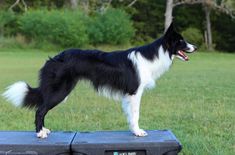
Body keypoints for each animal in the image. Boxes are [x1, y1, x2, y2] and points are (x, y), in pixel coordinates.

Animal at [2, 23, 196, 138]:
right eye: (181, 41)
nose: (195, 47)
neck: (156, 54)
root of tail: (53, 59)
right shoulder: (134, 92)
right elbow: (135, 114)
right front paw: (138, 132)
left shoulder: (128, 95)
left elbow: (129, 114)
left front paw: (132, 130)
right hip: (60, 91)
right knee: (40, 110)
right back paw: (40, 133)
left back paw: (44, 130)